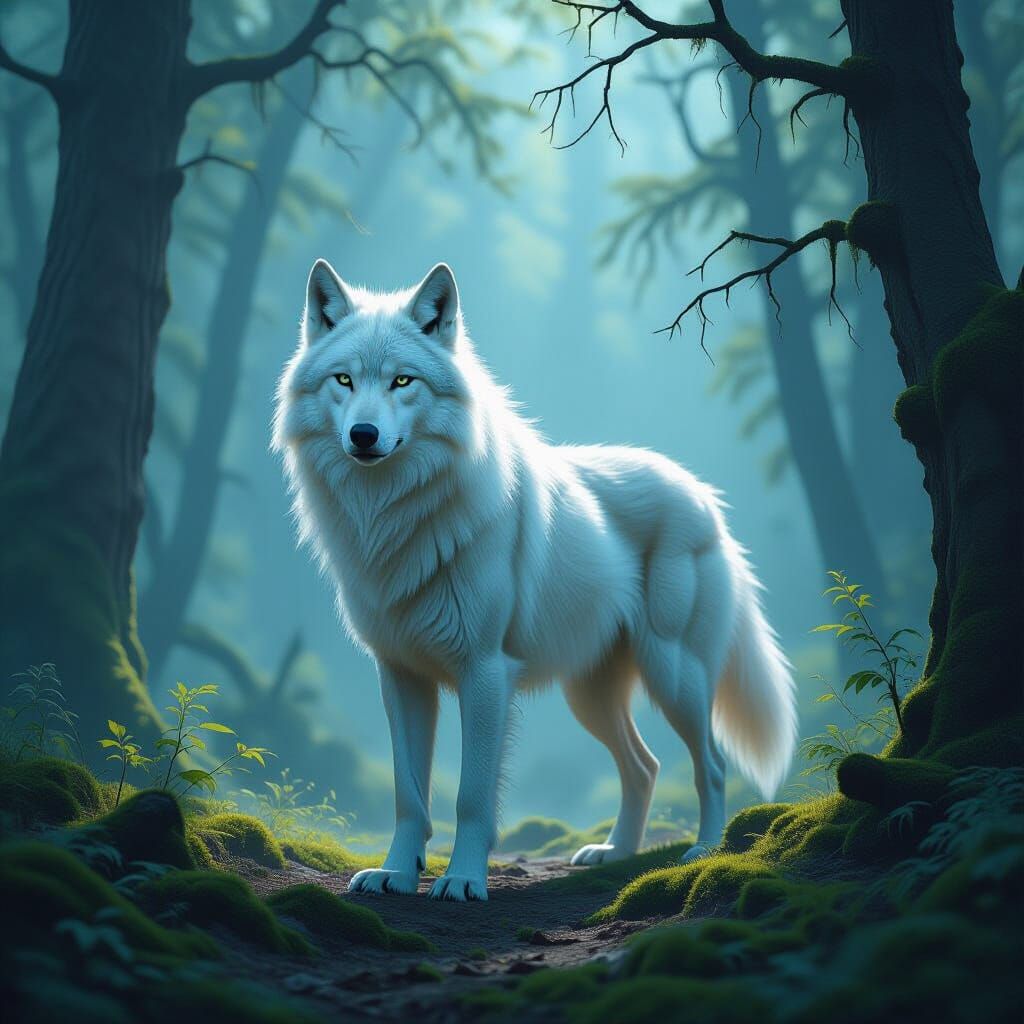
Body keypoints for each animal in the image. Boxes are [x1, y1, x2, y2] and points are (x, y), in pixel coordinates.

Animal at [273, 260, 797, 902]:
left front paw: (463, 881)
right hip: (590, 695)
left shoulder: (485, 672)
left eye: (402, 382)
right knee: (644, 766)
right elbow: (408, 795)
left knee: (712, 765)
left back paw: (704, 851)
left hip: (676, 676)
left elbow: (471, 796)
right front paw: (396, 874)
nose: (364, 435)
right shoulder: (400, 676)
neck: (396, 518)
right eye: (344, 380)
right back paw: (615, 852)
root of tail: (704, 496)